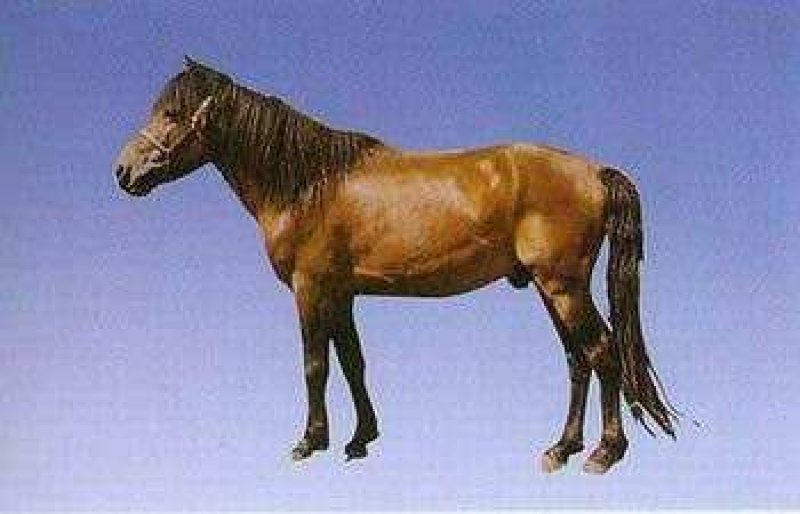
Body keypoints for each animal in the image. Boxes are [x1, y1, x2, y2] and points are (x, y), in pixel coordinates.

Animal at [114, 57, 677, 474]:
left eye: (171, 114)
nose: (123, 171)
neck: (308, 184)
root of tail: (596, 172)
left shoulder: (310, 288)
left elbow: (315, 365)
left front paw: (310, 442)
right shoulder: (341, 293)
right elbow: (352, 362)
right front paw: (360, 439)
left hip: (563, 286)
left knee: (602, 352)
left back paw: (604, 453)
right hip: (549, 288)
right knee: (577, 360)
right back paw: (561, 449)